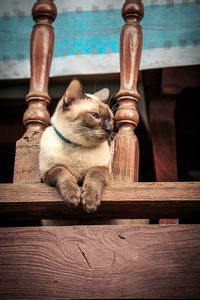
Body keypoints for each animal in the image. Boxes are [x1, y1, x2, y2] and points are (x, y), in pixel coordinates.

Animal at [39, 78, 113, 213]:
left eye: (110, 119)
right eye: (95, 115)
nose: (110, 129)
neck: (77, 145)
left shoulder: (103, 170)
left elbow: (94, 174)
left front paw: (89, 201)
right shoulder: (47, 173)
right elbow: (63, 172)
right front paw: (73, 196)